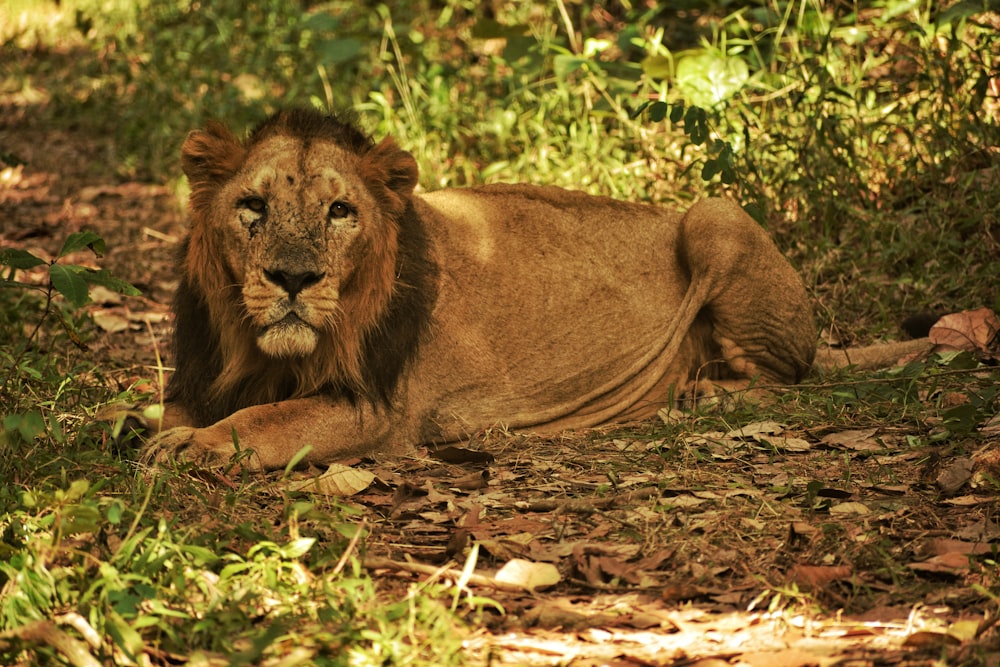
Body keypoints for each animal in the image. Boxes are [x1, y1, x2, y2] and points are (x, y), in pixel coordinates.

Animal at [139, 109, 928, 472]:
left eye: (340, 211)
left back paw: (706, 394)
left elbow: (263, 421)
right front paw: (142, 426)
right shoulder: (203, 375)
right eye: (253, 207)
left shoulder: (375, 408)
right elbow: (165, 409)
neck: (259, 350)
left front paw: (190, 447)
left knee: (788, 376)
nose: (294, 278)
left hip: (713, 214)